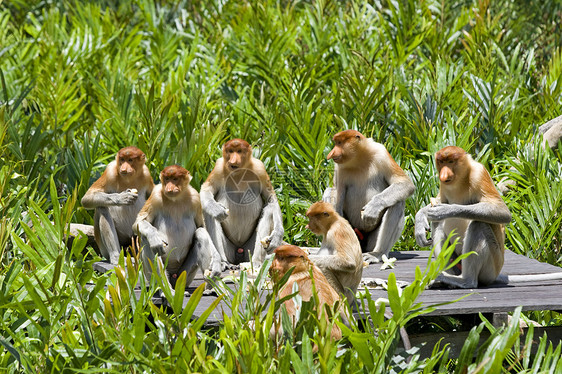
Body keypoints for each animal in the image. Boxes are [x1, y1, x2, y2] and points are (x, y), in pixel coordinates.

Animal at [135, 165, 222, 294]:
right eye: (167, 179)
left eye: (175, 179)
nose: (169, 187)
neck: (175, 199)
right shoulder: (155, 195)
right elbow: (139, 223)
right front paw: (155, 238)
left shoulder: (196, 197)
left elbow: (201, 226)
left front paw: (216, 263)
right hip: (150, 276)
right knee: (146, 239)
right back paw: (166, 290)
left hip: (185, 275)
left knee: (201, 234)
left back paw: (212, 288)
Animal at [199, 137, 282, 268]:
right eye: (230, 151)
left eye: (239, 151)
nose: (233, 160)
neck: (238, 173)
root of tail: (239, 249)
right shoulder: (218, 167)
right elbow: (206, 190)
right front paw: (217, 210)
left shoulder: (260, 168)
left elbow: (271, 199)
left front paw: (277, 236)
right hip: (229, 249)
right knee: (209, 213)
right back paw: (224, 262)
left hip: (249, 249)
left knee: (268, 210)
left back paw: (256, 262)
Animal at [322, 130, 414, 264]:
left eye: (339, 143)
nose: (331, 153)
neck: (359, 158)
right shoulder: (339, 168)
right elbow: (337, 194)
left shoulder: (382, 154)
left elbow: (404, 183)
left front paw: (373, 208)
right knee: (329, 191)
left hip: (372, 241)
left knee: (397, 203)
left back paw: (377, 254)